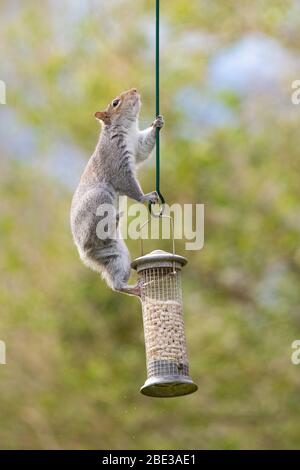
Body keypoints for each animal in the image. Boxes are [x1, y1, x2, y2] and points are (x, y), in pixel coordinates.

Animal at [69, 89, 164, 298]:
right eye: (115, 103)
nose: (135, 90)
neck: (127, 129)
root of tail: (83, 253)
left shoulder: (137, 145)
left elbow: (145, 148)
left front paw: (157, 124)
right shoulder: (116, 161)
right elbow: (128, 184)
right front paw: (146, 197)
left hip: (115, 255)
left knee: (116, 283)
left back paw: (135, 289)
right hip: (99, 199)